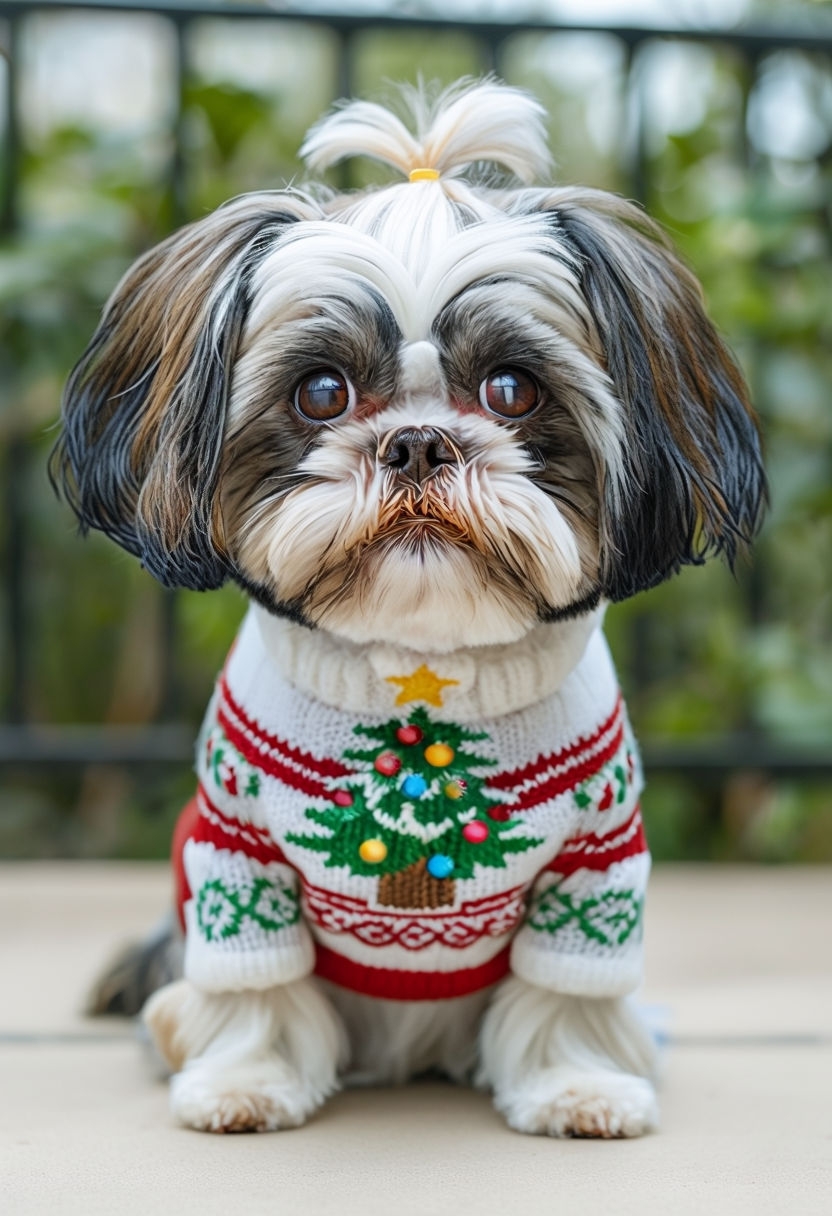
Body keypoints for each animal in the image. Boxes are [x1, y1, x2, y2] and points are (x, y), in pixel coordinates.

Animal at [53, 80, 768, 1133]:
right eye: (321, 391)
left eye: (511, 388)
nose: (420, 443)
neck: (421, 668)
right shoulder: (233, 845)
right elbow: (257, 979)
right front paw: (246, 1081)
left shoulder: (597, 858)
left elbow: (566, 989)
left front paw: (578, 1085)